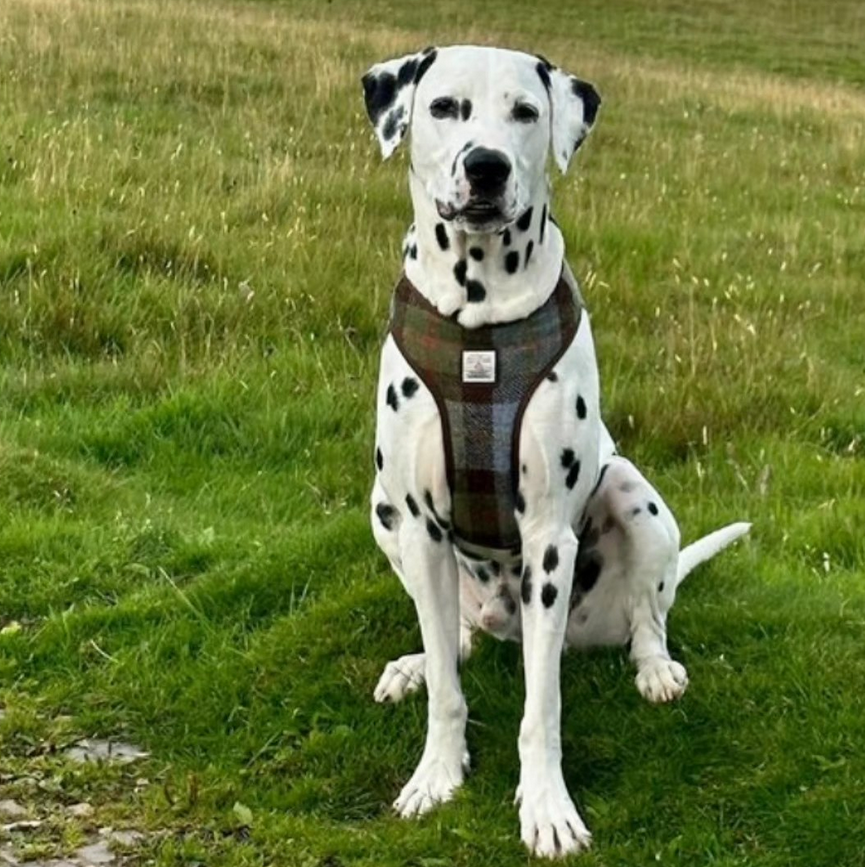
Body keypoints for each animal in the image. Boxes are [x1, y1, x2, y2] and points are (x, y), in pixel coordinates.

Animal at [360, 44, 748, 856]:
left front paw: (546, 807)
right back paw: (417, 663)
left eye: (525, 112)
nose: (485, 167)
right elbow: (449, 692)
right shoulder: (419, 524)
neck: (478, 325)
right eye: (443, 107)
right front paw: (436, 773)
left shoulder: (546, 541)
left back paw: (655, 668)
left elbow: (541, 709)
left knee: (646, 614)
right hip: (382, 512)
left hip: (635, 497)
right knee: (455, 639)